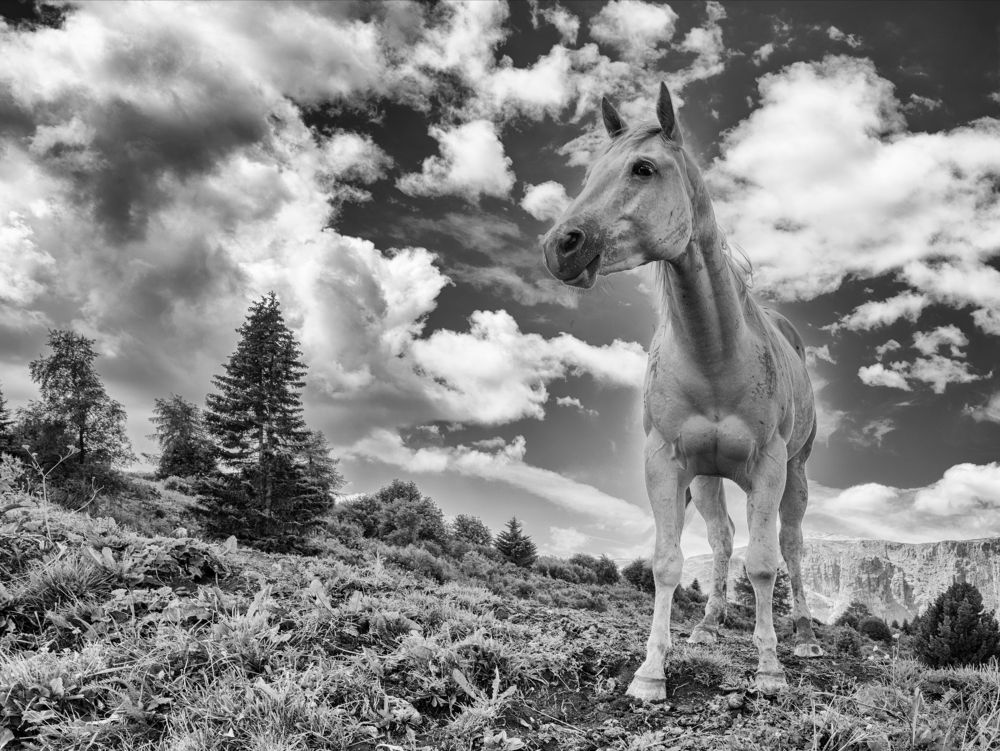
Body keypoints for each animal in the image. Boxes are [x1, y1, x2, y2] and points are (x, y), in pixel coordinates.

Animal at [540, 83, 822, 699]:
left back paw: (806, 635)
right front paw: (651, 672)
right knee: (720, 539)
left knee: (791, 545)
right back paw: (709, 624)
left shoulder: (769, 466)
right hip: (711, 476)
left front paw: (769, 668)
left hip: (796, 472)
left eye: (644, 168)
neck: (714, 354)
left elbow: (763, 562)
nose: (560, 246)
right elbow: (668, 562)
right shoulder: (667, 462)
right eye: (591, 172)